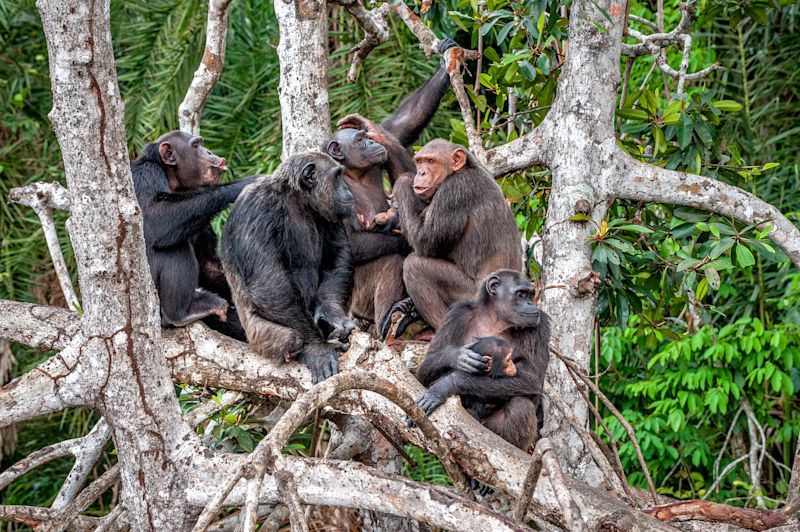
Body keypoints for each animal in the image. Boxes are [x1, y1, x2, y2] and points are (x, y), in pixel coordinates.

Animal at [132, 129, 253, 338]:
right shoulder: (144, 175)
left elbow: (207, 264)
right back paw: (182, 312)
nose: (209, 151)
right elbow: (154, 217)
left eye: (201, 144)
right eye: (196, 146)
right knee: (172, 247)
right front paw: (242, 185)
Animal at [219, 151, 356, 382]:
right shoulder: (257, 209)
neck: (298, 201)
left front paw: (332, 314)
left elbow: (337, 254)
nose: (347, 188)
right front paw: (317, 349)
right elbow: (268, 284)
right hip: (257, 335)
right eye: (337, 175)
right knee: (291, 338)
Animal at [324, 37, 460, 338]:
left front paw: (444, 63)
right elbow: (348, 240)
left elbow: (402, 125)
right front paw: (397, 233)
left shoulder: (387, 143)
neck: (354, 174)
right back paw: (391, 314)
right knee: (388, 260)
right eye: (359, 141)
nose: (370, 142)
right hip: (356, 300)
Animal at [390, 139, 524, 330]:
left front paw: (404, 180)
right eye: (420, 161)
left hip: (472, 298)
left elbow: (424, 240)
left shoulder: (453, 191)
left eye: (431, 161)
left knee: (415, 266)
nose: (421, 172)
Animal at [412, 270, 552, 454]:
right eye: (521, 294)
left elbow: (530, 378)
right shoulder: (457, 313)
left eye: (530, 294)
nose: (530, 303)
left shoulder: (540, 326)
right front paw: (458, 356)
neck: (495, 318)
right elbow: (424, 368)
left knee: (520, 406)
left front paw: (446, 385)